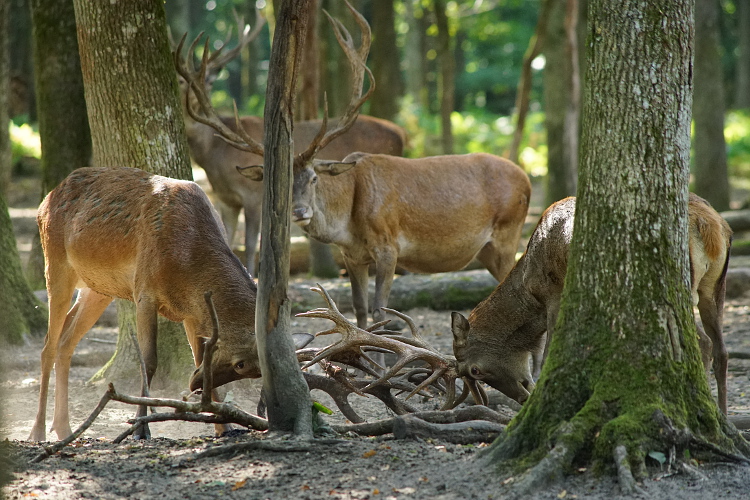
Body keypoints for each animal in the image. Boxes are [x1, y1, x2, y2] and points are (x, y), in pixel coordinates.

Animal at [176, 7, 408, 274]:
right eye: (180, 81)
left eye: (211, 82)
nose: (192, 101)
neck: (213, 157)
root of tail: (402, 133)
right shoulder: (226, 201)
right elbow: (227, 239)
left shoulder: (252, 196)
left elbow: (251, 245)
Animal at [452, 193, 736, 412]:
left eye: (475, 370)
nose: (523, 398)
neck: (530, 285)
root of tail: (710, 223)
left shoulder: (555, 293)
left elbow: (549, 350)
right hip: (715, 286)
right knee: (721, 348)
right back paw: (722, 415)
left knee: (704, 342)